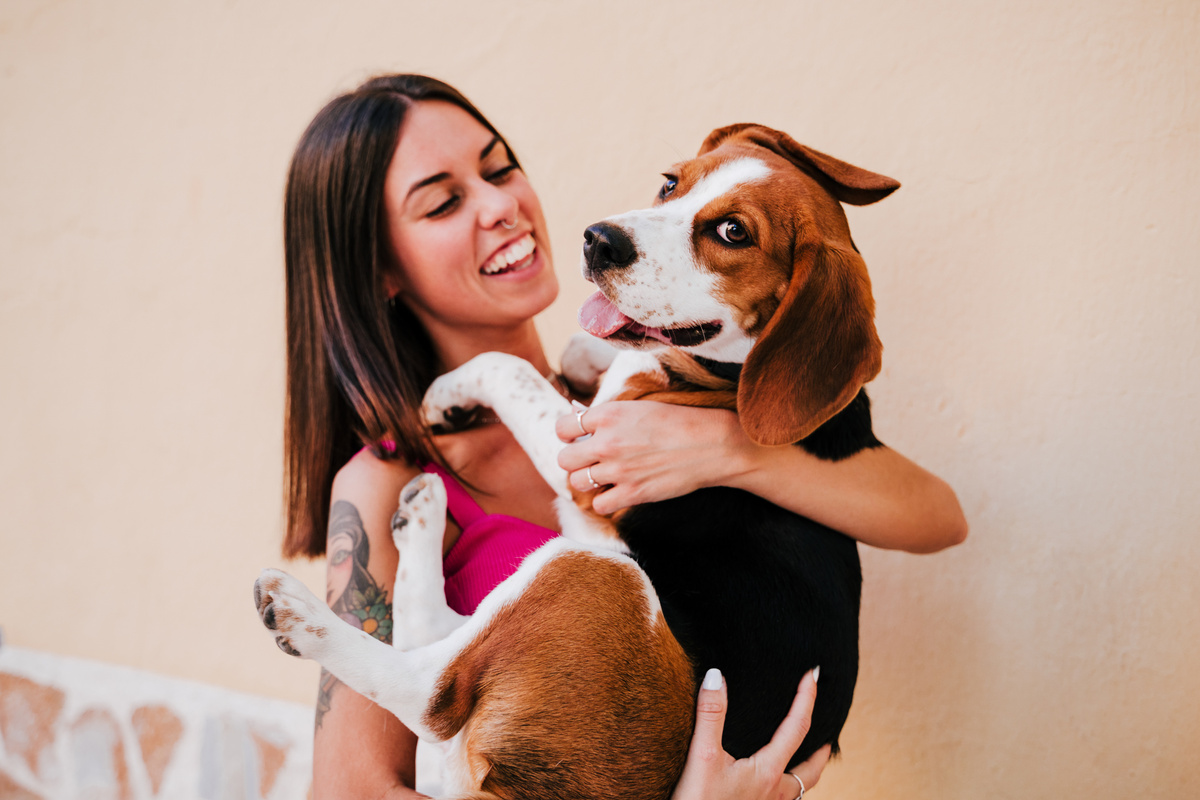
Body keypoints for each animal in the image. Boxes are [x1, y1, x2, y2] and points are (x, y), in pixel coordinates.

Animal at [255, 122, 902, 796]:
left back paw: (303, 611)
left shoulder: (587, 458)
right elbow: (579, 348)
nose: (599, 239)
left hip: (600, 572)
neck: (725, 372)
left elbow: (504, 365)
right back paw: (421, 513)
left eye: (733, 232)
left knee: (432, 693)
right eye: (670, 183)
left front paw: (446, 392)